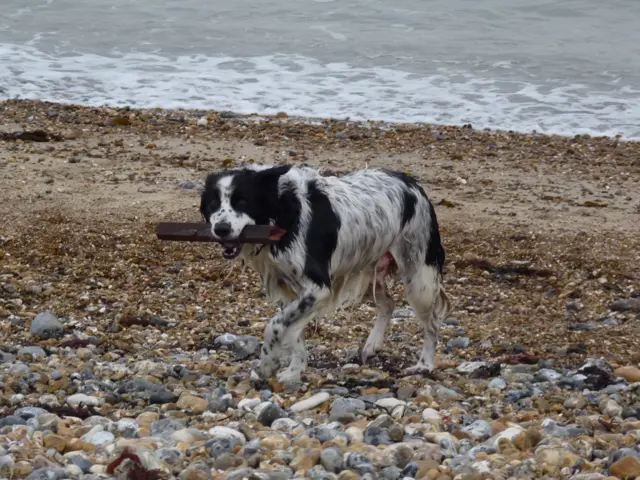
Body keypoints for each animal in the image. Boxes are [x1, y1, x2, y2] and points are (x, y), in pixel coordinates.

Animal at [200, 163, 450, 384]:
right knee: (388, 304)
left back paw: (424, 365)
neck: (281, 211)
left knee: (432, 323)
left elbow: (275, 325)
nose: (221, 229)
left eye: (242, 201)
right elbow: (293, 333)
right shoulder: (289, 291)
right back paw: (372, 345)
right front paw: (294, 371)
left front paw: (268, 363)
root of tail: (412, 183)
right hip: (366, 270)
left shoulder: (317, 288)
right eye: (212, 203)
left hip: (418, 278)